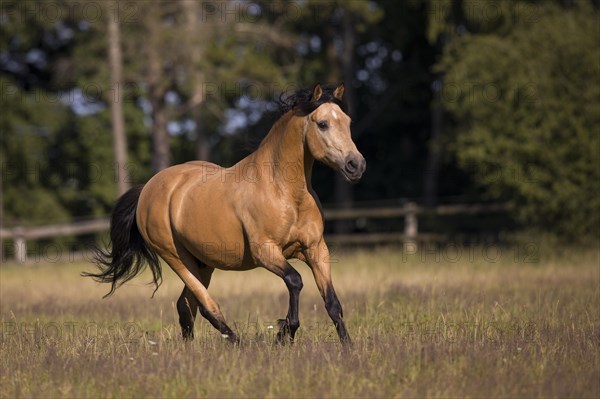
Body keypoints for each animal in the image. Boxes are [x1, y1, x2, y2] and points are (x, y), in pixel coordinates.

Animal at [83, 83, 366, 344]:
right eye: (323, 124)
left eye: (348, 122)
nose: (356, 165)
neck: (284, 191)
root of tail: (147, 189)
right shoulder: (266, 252)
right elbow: (295, 280)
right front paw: (285, 333)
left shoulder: (316, 249)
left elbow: (332, 302)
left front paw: (347, 347)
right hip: (176, 257)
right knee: (206, 306)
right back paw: (238, 343)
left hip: (203, 261)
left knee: (185, 305)